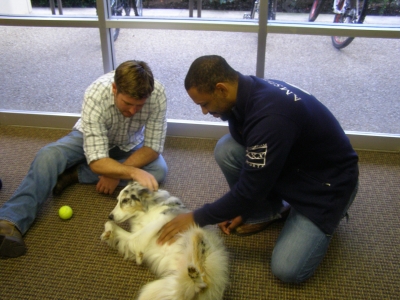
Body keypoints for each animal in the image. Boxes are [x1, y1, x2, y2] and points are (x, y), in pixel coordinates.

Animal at [100, 182, 230, 298]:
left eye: (125, 200)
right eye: (118, 200)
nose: (110, 216)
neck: (148, 210)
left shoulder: (164, 218)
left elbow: (143, 234)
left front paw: (138, 254)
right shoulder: (136, 232)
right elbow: (119, 230)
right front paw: (108, 233)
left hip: (197, 235)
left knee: (203, 282)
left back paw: (196, 277)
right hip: (155, 290)